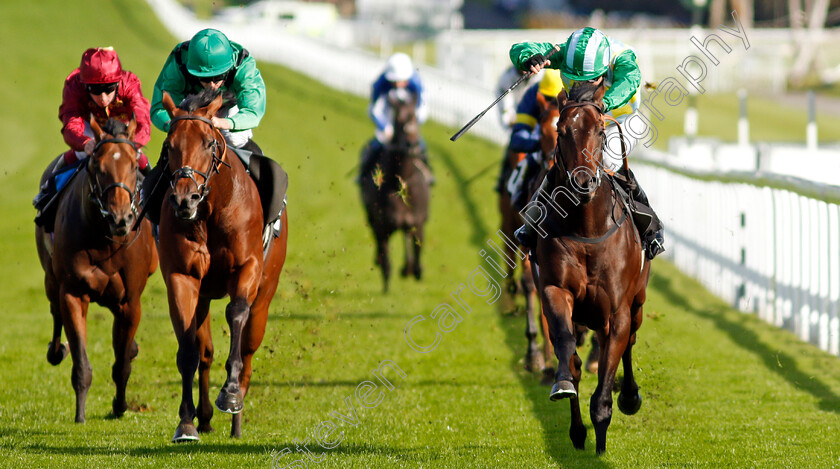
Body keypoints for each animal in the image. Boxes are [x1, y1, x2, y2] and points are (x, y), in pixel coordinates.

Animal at [35, 116, 159, 420]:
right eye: (98, 167)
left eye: (132, 165)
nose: (120, 219)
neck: (105, 240)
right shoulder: (73, 293)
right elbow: (81, 363)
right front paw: (80, 414)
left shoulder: (130, 301)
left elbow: (122, 364)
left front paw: (120, 405)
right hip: (50, 277)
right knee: (55, 310)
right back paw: (56, 350)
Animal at [158, 89, 288, 440]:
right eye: (170, 144)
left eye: (207, 142)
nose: (184, 199)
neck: (212, 210)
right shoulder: (183, 277)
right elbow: (188, 348)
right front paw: (186, 422)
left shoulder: (248, 267)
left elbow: (236, 314)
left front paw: (229, 394)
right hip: (203, 296)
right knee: (204, 350)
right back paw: (203, 417)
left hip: (265, 294)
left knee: (248, 350)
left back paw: (237, 418)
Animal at [358, 86, 430, 290]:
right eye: (399, 118)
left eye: (415, 116)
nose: (412, 144)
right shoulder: (383, 226)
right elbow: (386, 261)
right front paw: (387, 286)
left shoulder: (417, 222)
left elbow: (417, 252)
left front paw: (413, 270)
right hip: (373, 218)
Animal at [532, 77, 648, 454]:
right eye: (562, 129)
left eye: (599, 129)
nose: (583, 183)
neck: (586, 228)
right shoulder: (555, 290)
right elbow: (568, 351)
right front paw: (564, 387)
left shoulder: (617, 312)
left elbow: (605, 384)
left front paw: (601, 440)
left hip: (637, 303)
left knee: (630, 343)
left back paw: (629, 396)